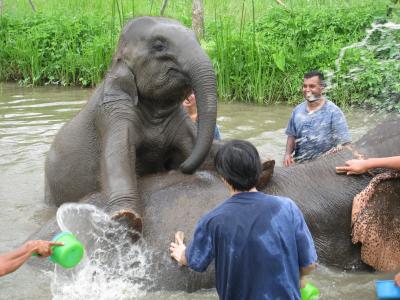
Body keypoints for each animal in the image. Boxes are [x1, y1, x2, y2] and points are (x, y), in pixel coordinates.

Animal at [45, 16, 219, 232]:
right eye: (159, 46)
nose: (181, 167)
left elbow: (198, 145)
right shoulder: (112, 113)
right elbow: (118, 156)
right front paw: (126, 219)